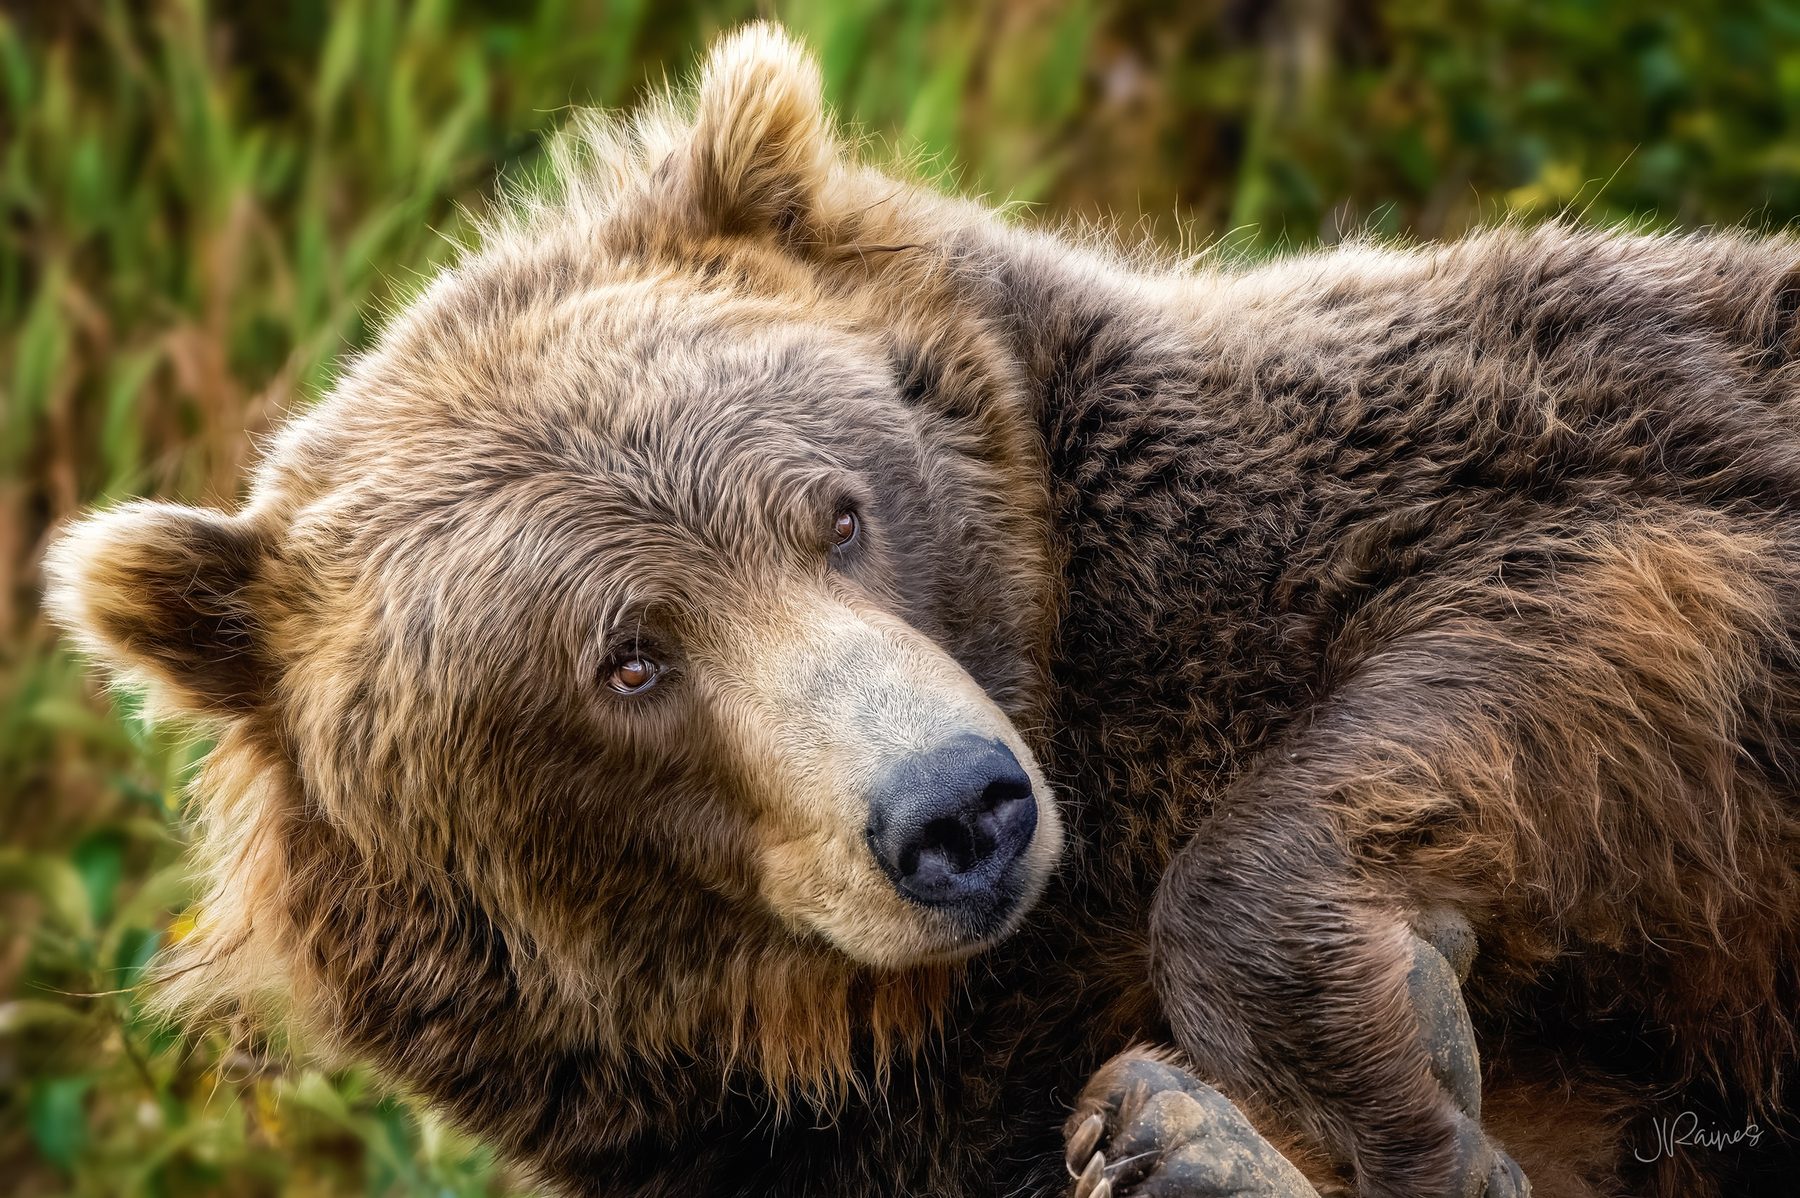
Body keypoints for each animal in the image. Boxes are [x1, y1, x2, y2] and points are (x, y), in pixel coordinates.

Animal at [42, 20, 1800, 1198]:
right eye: (628, 659)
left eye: (839, 509)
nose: (957, 808)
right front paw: (1226, 1131)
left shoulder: (1552, 441)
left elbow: (1600, 610)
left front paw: (1385, 1082)